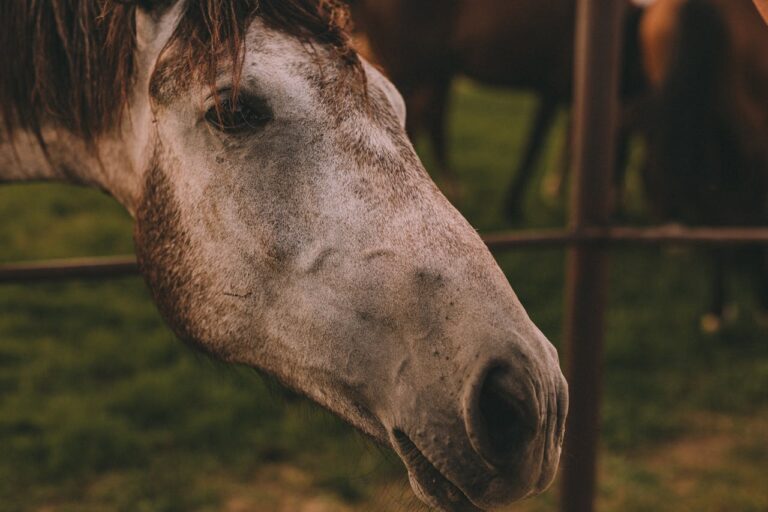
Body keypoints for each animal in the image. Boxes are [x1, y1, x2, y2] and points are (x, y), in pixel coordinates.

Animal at [352, 0, 644, 214]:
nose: (618, 207)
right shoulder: (551, 90)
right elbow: (534, 146)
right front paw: (513, 206)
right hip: (414, 69)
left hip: (432, 71)